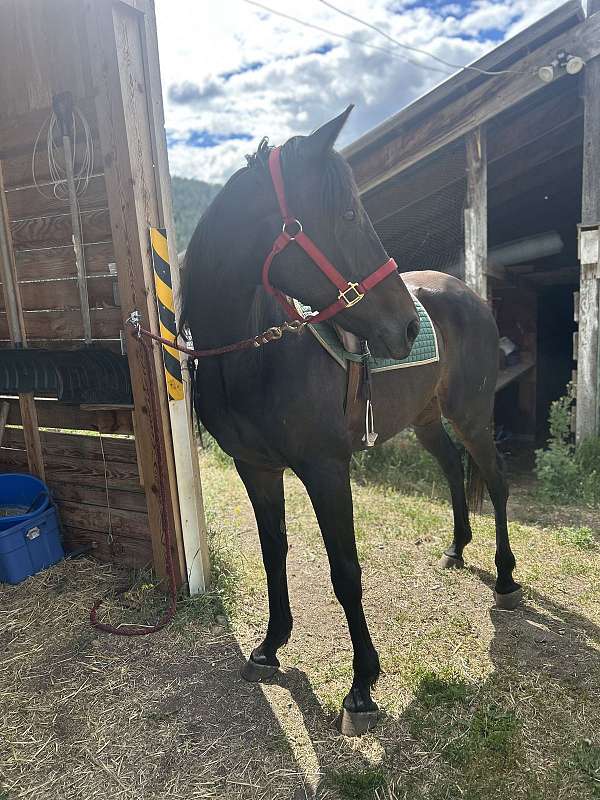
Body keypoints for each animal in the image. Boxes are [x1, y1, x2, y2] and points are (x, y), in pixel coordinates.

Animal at [181, 106, 522, 736]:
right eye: (344, 214)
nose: (407, 328)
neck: (254, 357)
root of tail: (467, 292)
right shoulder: (255, 468)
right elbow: (274, 553)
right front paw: (269, 646)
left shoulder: (326, 470)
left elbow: (345, 570)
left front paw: (362, 685)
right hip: (427, 420)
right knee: (453, 469)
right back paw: (456, 549)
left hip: (471, 414)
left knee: (496, 481)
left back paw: (506, 579)